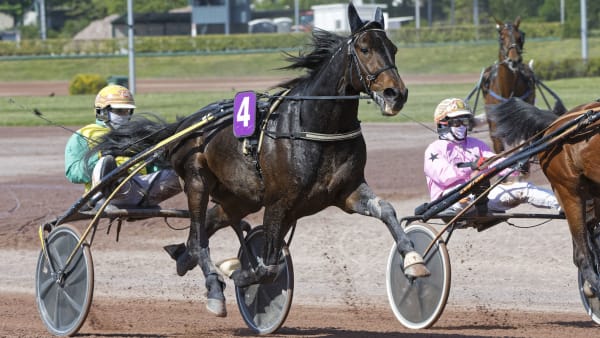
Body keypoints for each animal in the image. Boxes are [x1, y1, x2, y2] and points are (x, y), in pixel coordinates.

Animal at [90, 3, 426, 316]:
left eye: (393, 48)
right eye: (364, 48)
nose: (396, 94)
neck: (314, 126)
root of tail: (187, 124)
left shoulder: (347, 192)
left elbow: (386, 209)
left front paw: (413, 259)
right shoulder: (279, 202)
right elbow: (268, 268)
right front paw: (239, 274)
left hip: (239, 198)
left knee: (206, 227)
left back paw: (182, 258)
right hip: (197, 181)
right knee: (199, 239)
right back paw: (214, 288)